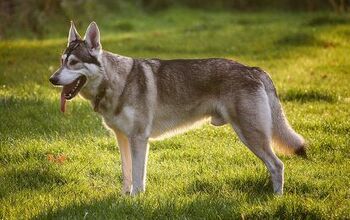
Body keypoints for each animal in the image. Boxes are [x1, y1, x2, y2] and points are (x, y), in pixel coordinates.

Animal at [50, 21, 306, 195]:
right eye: (61, 61)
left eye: (73, 63)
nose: (52, 79)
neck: (116, 83)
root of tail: (253, 69)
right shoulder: (122, 138)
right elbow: (127, 174)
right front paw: (123, 198)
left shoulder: (139, 139)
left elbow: (138, 177)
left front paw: (135, 199)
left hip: (251, 136)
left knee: (277, 165)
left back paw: (276, 197)